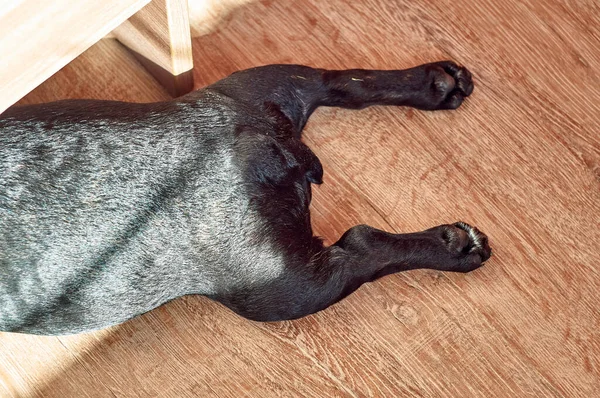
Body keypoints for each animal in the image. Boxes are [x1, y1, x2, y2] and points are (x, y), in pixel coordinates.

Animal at [0, 61, 488, 336]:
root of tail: (257, 137)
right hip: (266, 85)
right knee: (339, 82)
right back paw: (434, 83)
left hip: (286, 289)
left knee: (365, 248)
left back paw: (457, 249)